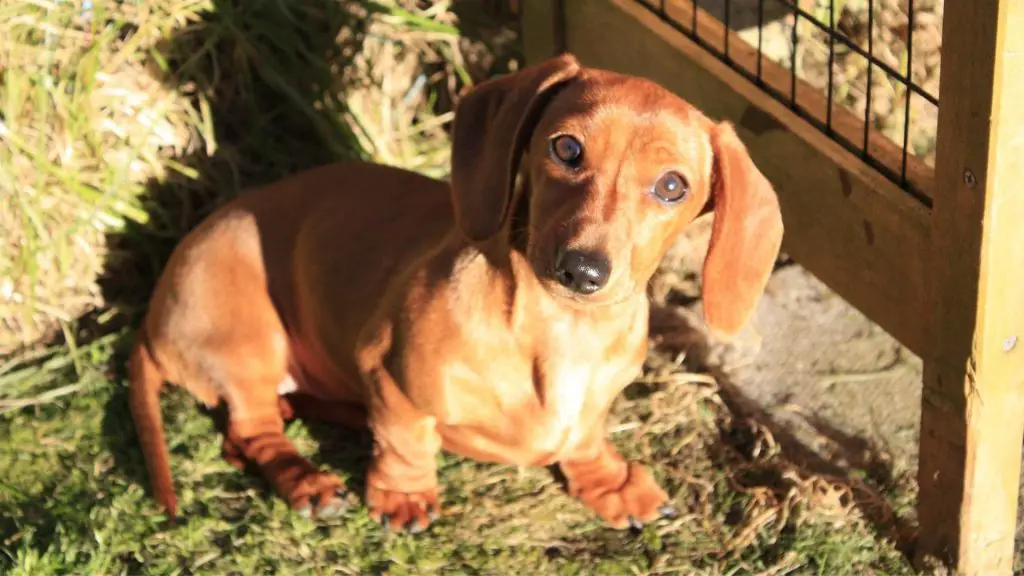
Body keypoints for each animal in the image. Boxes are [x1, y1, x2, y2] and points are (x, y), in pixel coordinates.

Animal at [130, 52, 782, 528]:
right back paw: (308, 482)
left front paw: (608, 481)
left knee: (243, 436)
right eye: (566, 148)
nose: (582, 271)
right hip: (247, 340)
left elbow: (585, 435)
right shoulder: (387, 374)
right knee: (253, 428)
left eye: (672, 186)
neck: (562, 331)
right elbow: (405, 439)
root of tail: (152, 313)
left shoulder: (593, 406)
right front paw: (403, 495)